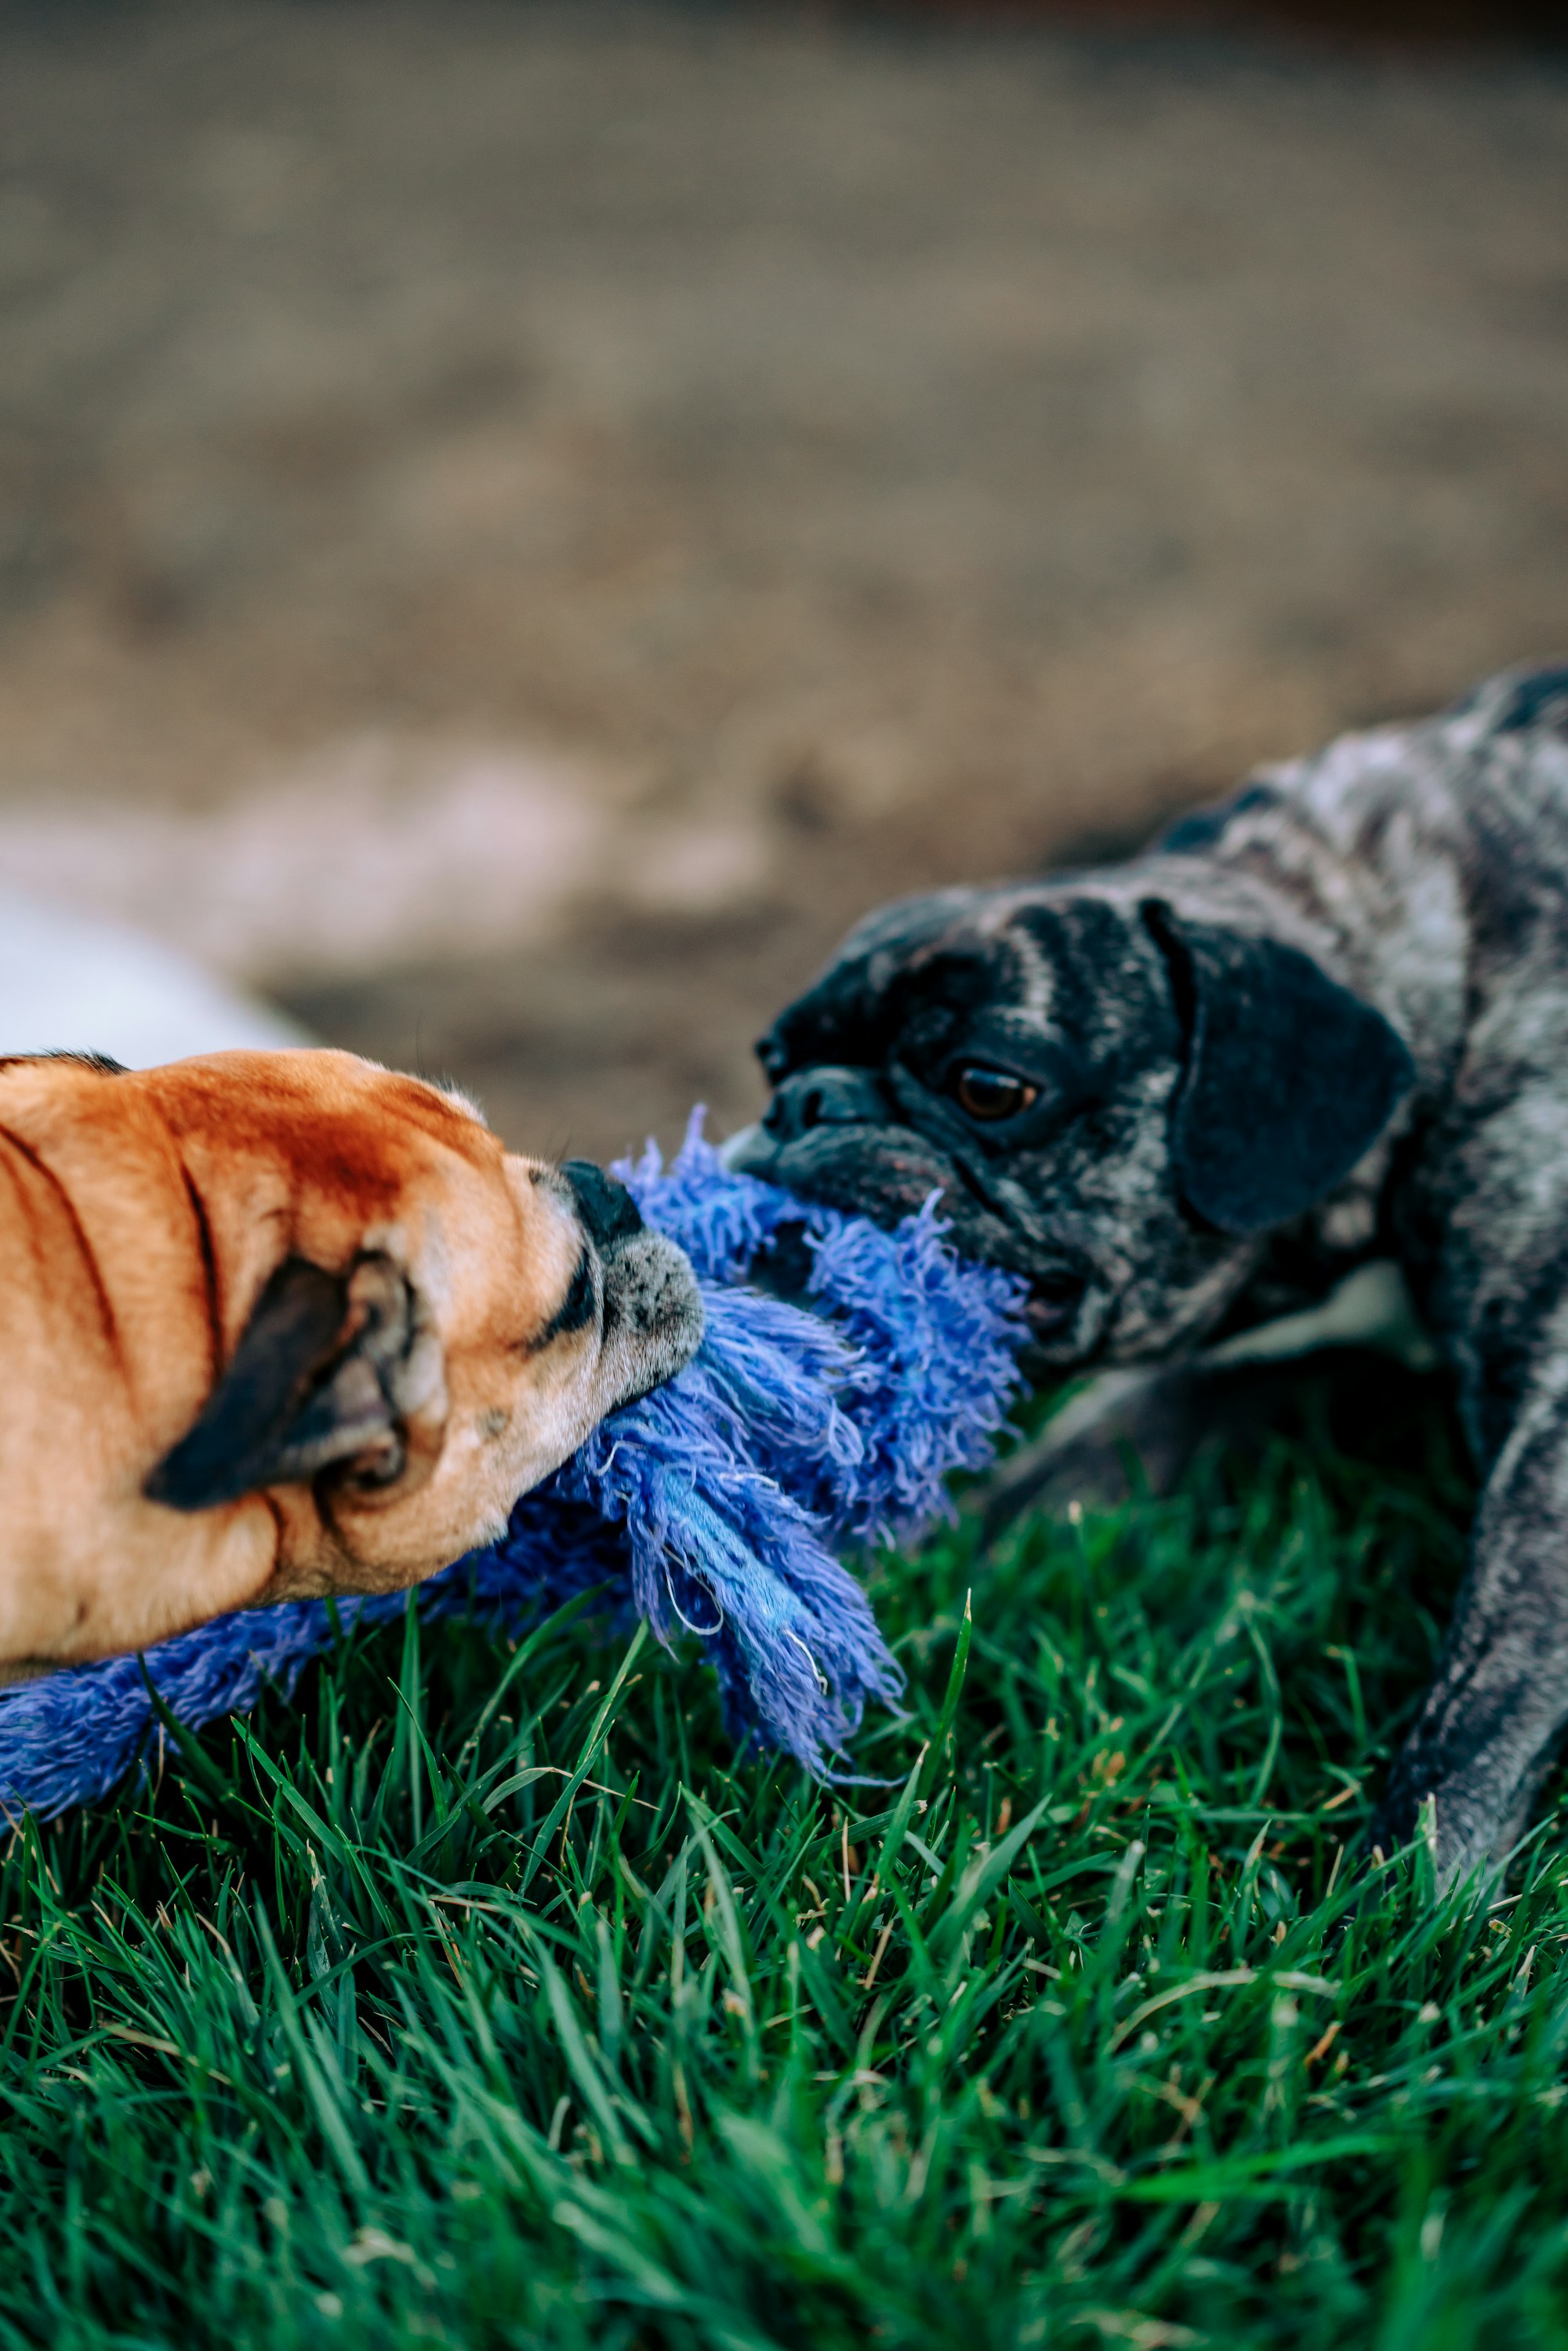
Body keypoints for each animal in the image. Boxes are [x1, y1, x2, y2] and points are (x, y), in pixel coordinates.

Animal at [733, 663, 1568, 1890]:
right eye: (774, 1062)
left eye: (989, 1086)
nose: (803, 1103)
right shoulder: (1220, 1373)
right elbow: (1037, 1490)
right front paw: (892, 1594)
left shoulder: (1549, 1418)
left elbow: (1485, 1686)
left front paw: (1406, 1891)